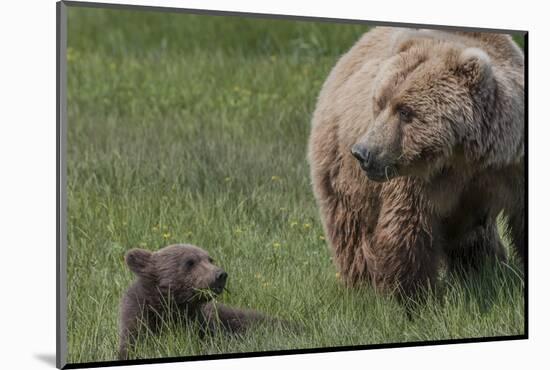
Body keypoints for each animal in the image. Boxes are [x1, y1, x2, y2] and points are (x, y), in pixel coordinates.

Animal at [310, 27, 528, 300]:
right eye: (379, 103)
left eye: (405, 111)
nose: (363, 153)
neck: (464, 155)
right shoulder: (416, 180)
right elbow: (407, 227)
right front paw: (412, 296)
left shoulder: (511, 165)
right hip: (341, 170)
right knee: (352, 229)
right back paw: (363, 285)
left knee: (474, 238)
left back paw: (483, 269)